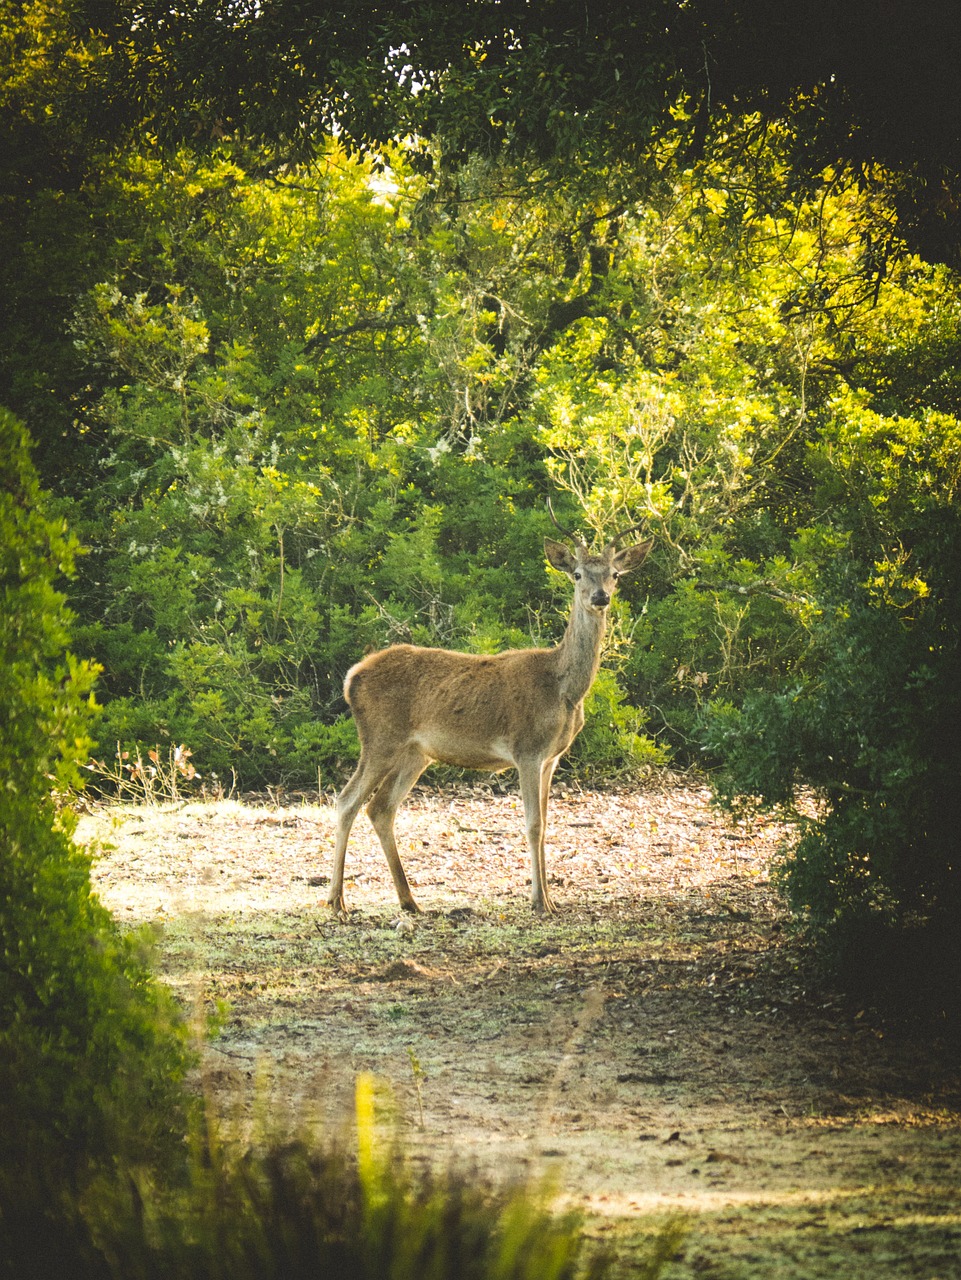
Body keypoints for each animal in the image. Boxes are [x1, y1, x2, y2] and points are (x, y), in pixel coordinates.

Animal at [327, 509, 650, 921]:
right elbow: (533, 824)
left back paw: (409, 900)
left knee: (380, 808)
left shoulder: (552, 757)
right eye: (577, 573)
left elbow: (547, 823)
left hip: (416, 752)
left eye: (615, 573)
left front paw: (551, 899)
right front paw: (539, 902)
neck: (562, 688)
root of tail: (352, 677)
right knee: (346, 801)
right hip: (380, 738)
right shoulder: (527, 749)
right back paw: (337, 901)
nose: (600, 597)